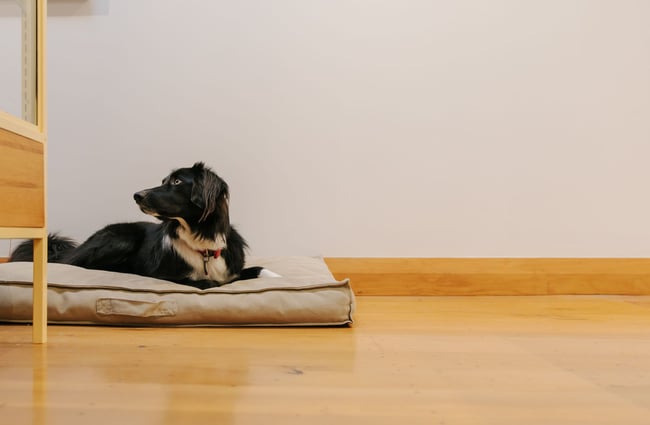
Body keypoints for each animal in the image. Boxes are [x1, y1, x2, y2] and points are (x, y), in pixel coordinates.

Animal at [8, 162, 266, 288]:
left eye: (176, 181)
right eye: (164, 180)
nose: (136, 195)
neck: (202, 241)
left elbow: (261, 270)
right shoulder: (163, 274)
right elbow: (205, 282)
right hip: (120, 238)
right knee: (78, 264)